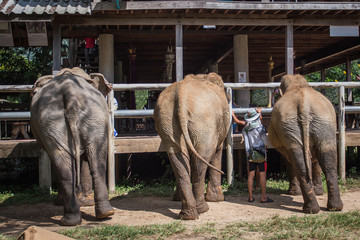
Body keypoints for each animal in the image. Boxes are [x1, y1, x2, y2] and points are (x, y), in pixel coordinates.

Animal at [32, 67, 114, 225]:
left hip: (50, 119)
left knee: (63, 164)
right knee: (97, 160)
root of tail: (69, 90)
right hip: (94, 115)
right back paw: (105, 213)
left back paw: (68, 220)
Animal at [153, 72, 229, 219]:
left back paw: (188, 215)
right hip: (204, 121)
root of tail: (181, 93)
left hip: (166, 119)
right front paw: (217, 199)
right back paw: (202, 209)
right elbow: (217, 152)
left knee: (177, 156)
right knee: (202, 157)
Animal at [270, 74, 344, 213]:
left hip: (298, 123)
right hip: (321, 122)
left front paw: (294, 193)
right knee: (326, 160)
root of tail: (303, 105)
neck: (297, 85)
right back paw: (330, 208)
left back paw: (311, 207)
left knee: (302, 160)